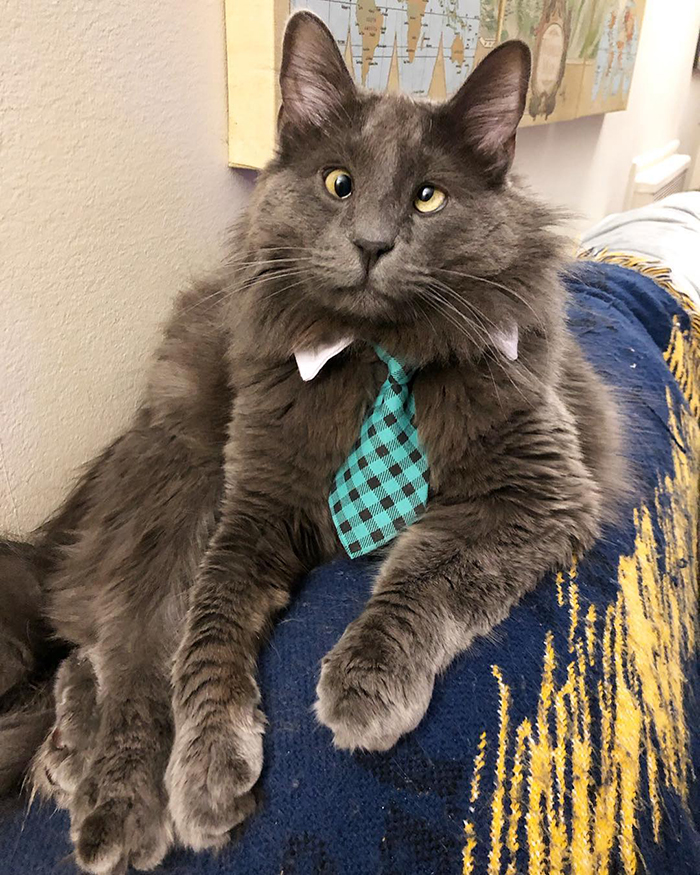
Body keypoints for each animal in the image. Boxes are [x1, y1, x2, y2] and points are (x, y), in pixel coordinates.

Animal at [0, 10, 624, 872]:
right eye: (338, 183)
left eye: (428, 197)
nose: (371, 244)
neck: (373, 350)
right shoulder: (252, 505)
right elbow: (207, 637)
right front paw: (204, 771)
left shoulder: (533, 488)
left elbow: (423, 573)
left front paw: (366, 681)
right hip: (183, 485)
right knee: (126, 649)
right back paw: (113, 801)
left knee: (86, 646)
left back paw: (67, 755)